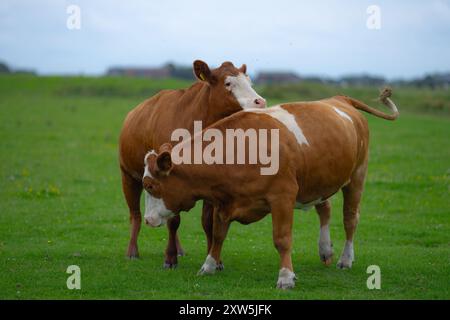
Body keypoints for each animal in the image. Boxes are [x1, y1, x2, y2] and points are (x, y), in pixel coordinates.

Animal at [119, 60, 266, 268]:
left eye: (249, 82)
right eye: (228, 83)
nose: (260, 102)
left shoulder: (210, 180)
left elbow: (207, 222)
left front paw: (214, 259)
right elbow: (173, 221)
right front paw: (169, 257)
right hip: (128, 176)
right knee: (135, 215)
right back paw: (132, 250)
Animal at [142, 89, 400, 288]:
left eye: (151, 185)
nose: (147, 219)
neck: (240, 149)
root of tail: (340, 99)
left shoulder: (282, 198)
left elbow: (282, 239)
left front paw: (285, 277)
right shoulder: (224, 202)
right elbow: (218, 235)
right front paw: (209, 265)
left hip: (357, 177)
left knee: (350, 219)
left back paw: (346, 259)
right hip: (319, 181)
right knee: (324, 209)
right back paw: (325, 249)